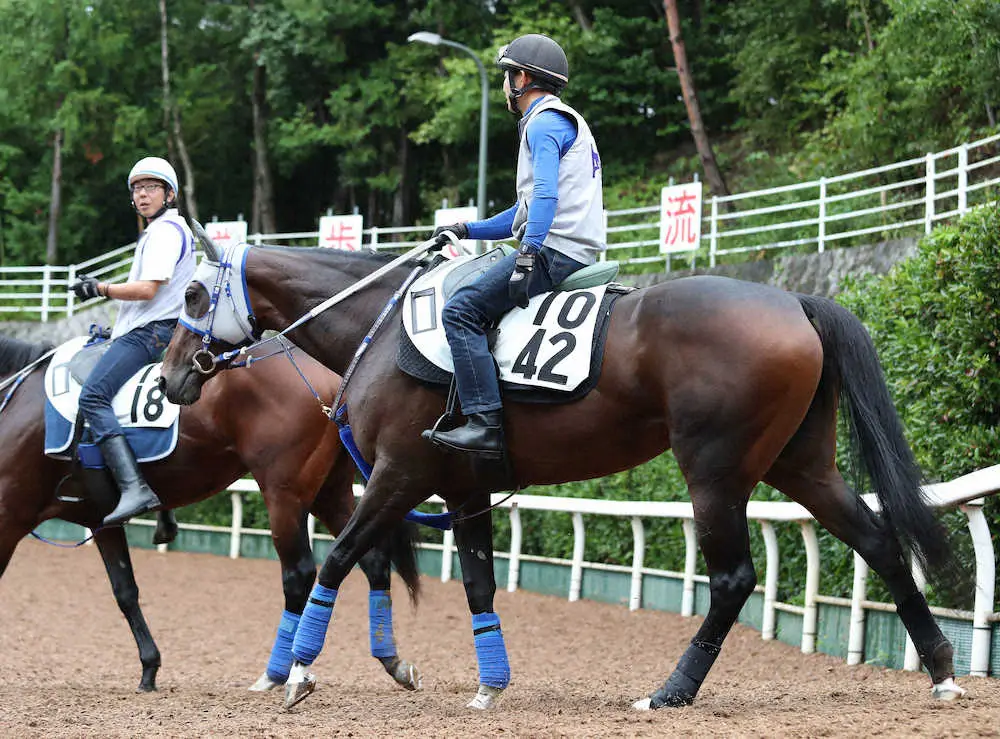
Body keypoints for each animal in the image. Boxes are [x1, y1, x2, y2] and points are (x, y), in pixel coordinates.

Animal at [0, 336, 420, 692]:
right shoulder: (102, 522)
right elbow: (125, 592)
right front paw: (149, 668)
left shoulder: (9, 517)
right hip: (330, 493)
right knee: (369, 560)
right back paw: (391, 660)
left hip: (285, 494)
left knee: (299, 574)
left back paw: (276, 673)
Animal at [160, 241, 964, 712]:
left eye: (193, 295)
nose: (169, 379)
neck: (381, 329)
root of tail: (793, 300)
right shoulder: (464, 490)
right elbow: (477, 583)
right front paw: (488, 684)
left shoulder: (398, 474)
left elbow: (338, 559)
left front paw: (298, 673)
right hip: (801, 464)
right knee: (880, 542)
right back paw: (942, 670)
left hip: (715, 471)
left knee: (734, 578)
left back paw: (672, 690)